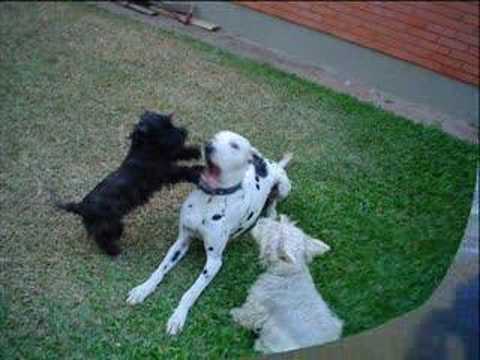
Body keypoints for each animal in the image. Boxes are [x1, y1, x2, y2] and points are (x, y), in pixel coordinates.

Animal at [127, 131, 292, 334]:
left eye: (235, 145)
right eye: (215, 137)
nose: (208, 146)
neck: (209, 199)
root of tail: (271, 164)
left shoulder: (214, 262)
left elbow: (190, 292)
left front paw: (178, 316)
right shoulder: (181, 242)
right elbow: (159, 270)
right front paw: (143, 289)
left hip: (284, 187)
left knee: (274, 199)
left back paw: (271, 212)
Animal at [231, 215, 344, 352]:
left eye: (272, 230)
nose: (260, 220)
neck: (289, 273)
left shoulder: (258, 303)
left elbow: (246, 314)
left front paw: (234, 314)